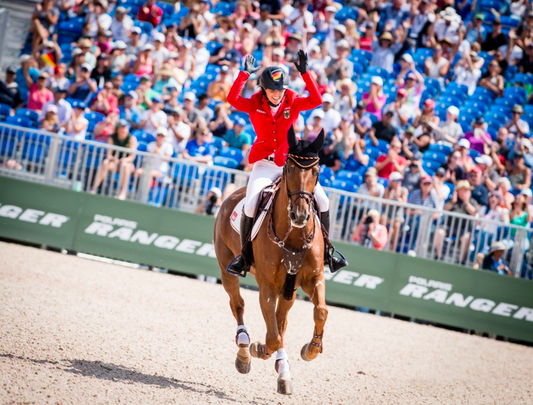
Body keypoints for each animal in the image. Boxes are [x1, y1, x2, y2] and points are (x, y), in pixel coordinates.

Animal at [214, 127, 326, 394]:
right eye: (289, 169)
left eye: (316, 171)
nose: (300, 215)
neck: (293, 234)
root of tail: (231, 195)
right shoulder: (267, 286)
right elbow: (272, 337)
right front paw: (259, 349)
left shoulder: (310, 279)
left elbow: (319, 312)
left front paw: (311, 349)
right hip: (226, 269)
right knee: (238, 305)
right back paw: (245, 349)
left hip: (289, 290)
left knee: (280, 321)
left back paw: (283, 370)